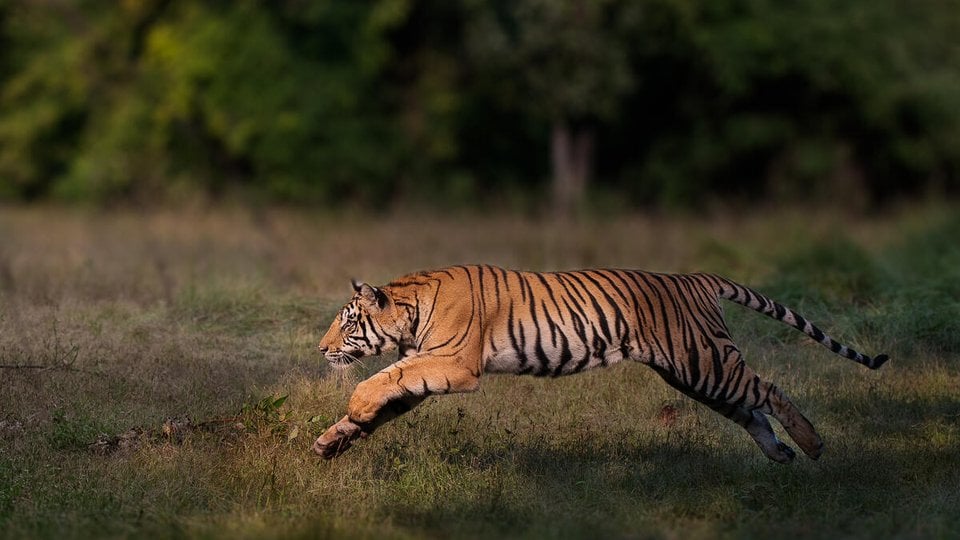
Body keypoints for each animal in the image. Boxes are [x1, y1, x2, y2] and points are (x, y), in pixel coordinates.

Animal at [313, 264, 888, 463]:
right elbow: (387, 395)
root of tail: (696, 278)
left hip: (706, 363)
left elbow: (383, 379)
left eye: (347, 323)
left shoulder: (453, 364)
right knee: (750, 410)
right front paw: (334, 439)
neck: (410, 311)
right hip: (696, 375)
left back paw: (811, 445)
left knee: (770, 391)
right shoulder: (427, 367)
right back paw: (779, 454)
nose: (319, 348)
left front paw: (354, 408)